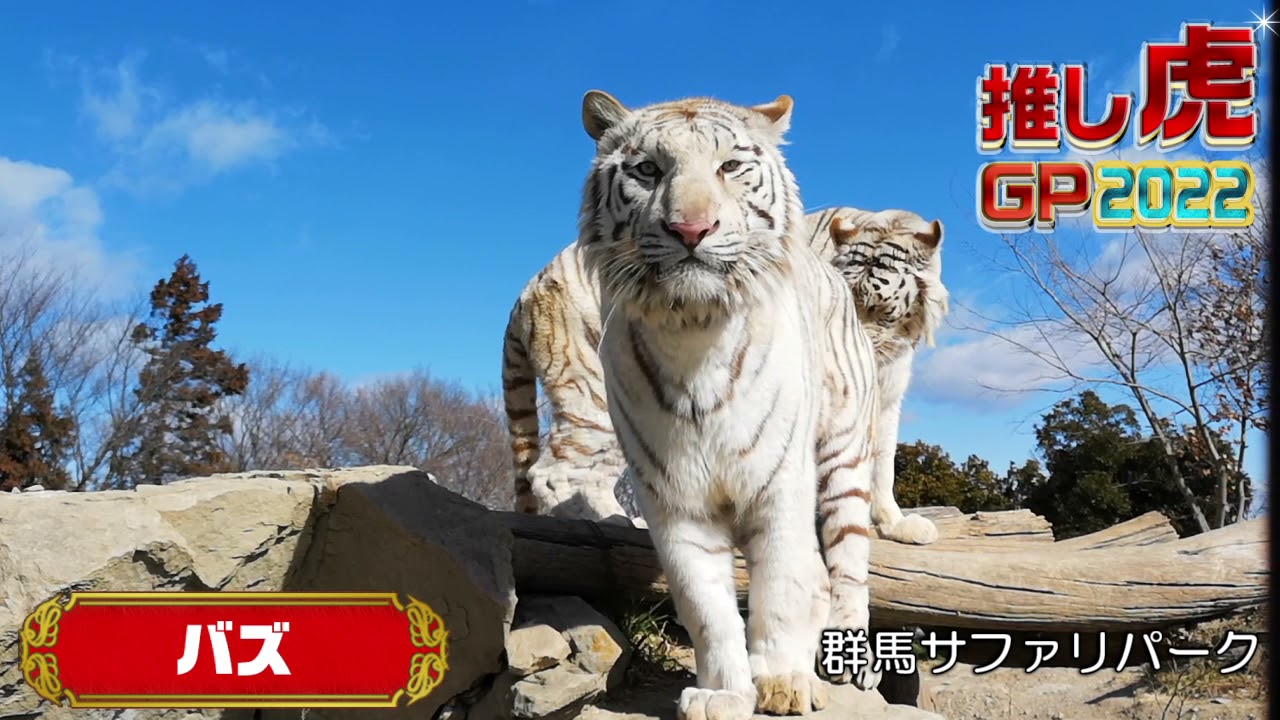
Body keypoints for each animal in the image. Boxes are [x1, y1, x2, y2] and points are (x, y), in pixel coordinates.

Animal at [502, 211, 948, 545]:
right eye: (846, 301)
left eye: (878, 309)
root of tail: (525, 292)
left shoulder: (886, 394)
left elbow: (882, 461)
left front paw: (894, 522)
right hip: (599, 393)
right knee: (552, 473)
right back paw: (611, 521)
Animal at [574, 89, 882, 718]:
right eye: (648, 170)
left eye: (730, 167)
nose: (691, 229)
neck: (694, 333)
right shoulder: (674, 502)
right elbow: (706, 606)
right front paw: (725, 693)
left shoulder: (781, 487)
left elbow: (782, 586)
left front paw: (784, 681)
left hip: (843, 461)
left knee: (845, 565)